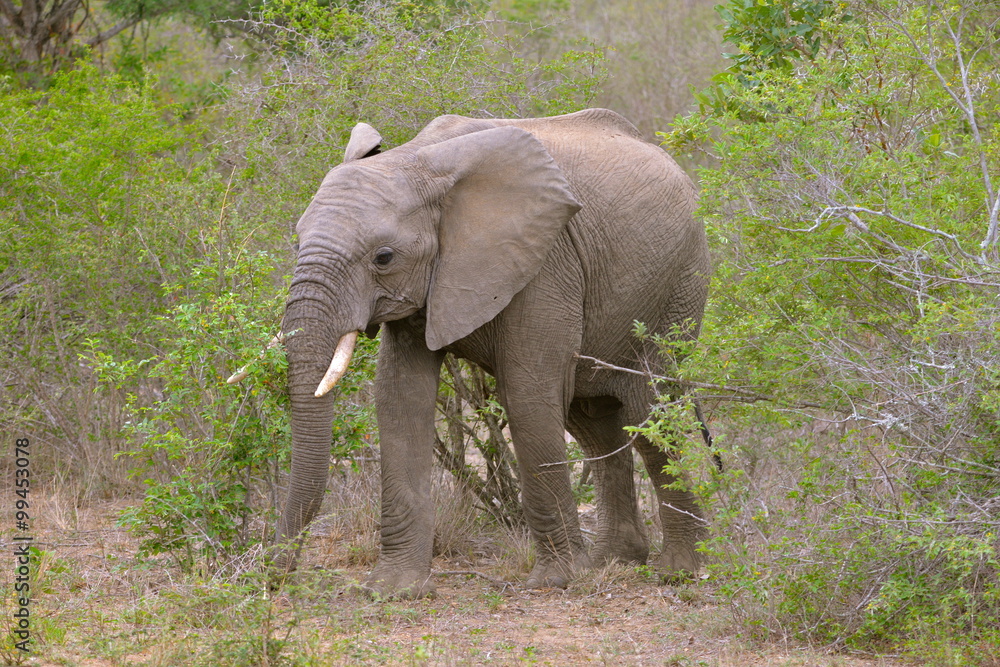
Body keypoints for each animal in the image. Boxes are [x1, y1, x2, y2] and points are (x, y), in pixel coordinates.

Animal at [270, 108, 710, 598]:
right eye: (297, 243)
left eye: (383, 258)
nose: (275, 575)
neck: (418, 161)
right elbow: (399, 398)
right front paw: (393, 590)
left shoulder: (544, 260)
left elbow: (526, 394)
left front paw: (553, 581)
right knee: (593, 420)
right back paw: (612, 561)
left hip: (678, 285)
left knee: (648, 410)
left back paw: (680, 570)